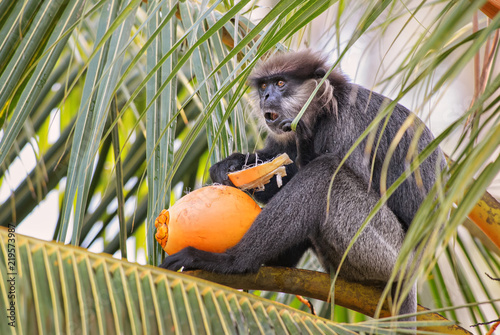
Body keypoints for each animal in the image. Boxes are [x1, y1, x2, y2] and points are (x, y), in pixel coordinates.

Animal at [160, 51, 446, 322]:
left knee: (324, 175)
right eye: (263, 86)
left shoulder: (347, 123)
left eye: (280, 83)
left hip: (383, 252)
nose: (266, 96)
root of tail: (413, 268)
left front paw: (305, 138)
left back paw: (234, 262)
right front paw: (230, 166)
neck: (325, 112)